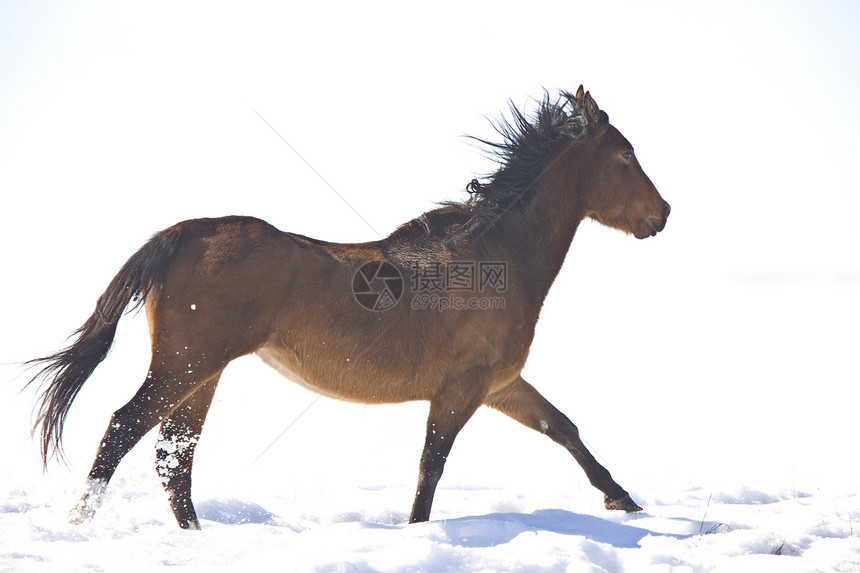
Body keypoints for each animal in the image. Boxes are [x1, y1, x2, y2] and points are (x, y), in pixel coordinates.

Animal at [25, 87, 672, 528]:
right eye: (624, 157)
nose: (662, 215)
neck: (496, 255)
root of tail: (183, 233)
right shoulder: (461, 389)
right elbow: (431, 466)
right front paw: (416, 532)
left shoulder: (498, 383)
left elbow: (563, 427)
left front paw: (625, 501)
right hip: (188, 363)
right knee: (125, 428)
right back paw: (81, 523)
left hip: (202, 373)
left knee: (173, 454)